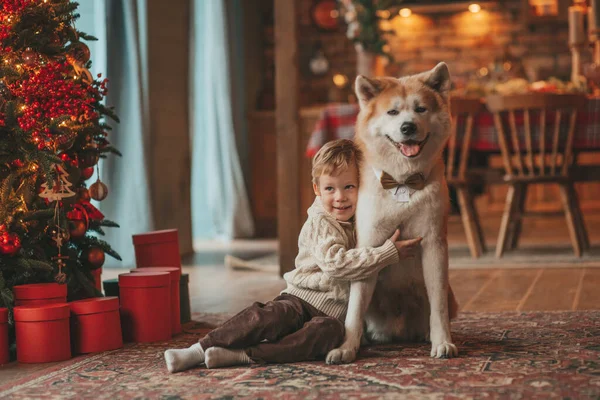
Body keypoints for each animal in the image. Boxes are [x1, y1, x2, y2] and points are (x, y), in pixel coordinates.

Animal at [326, 61, 458, 362]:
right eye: (393, 112)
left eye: (421, 109)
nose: (408, 127)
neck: (402, 182)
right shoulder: (369, 245)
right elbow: (354, 310)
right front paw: (346, 347)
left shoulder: (434, 245)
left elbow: (438, 307)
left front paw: (442, 341)